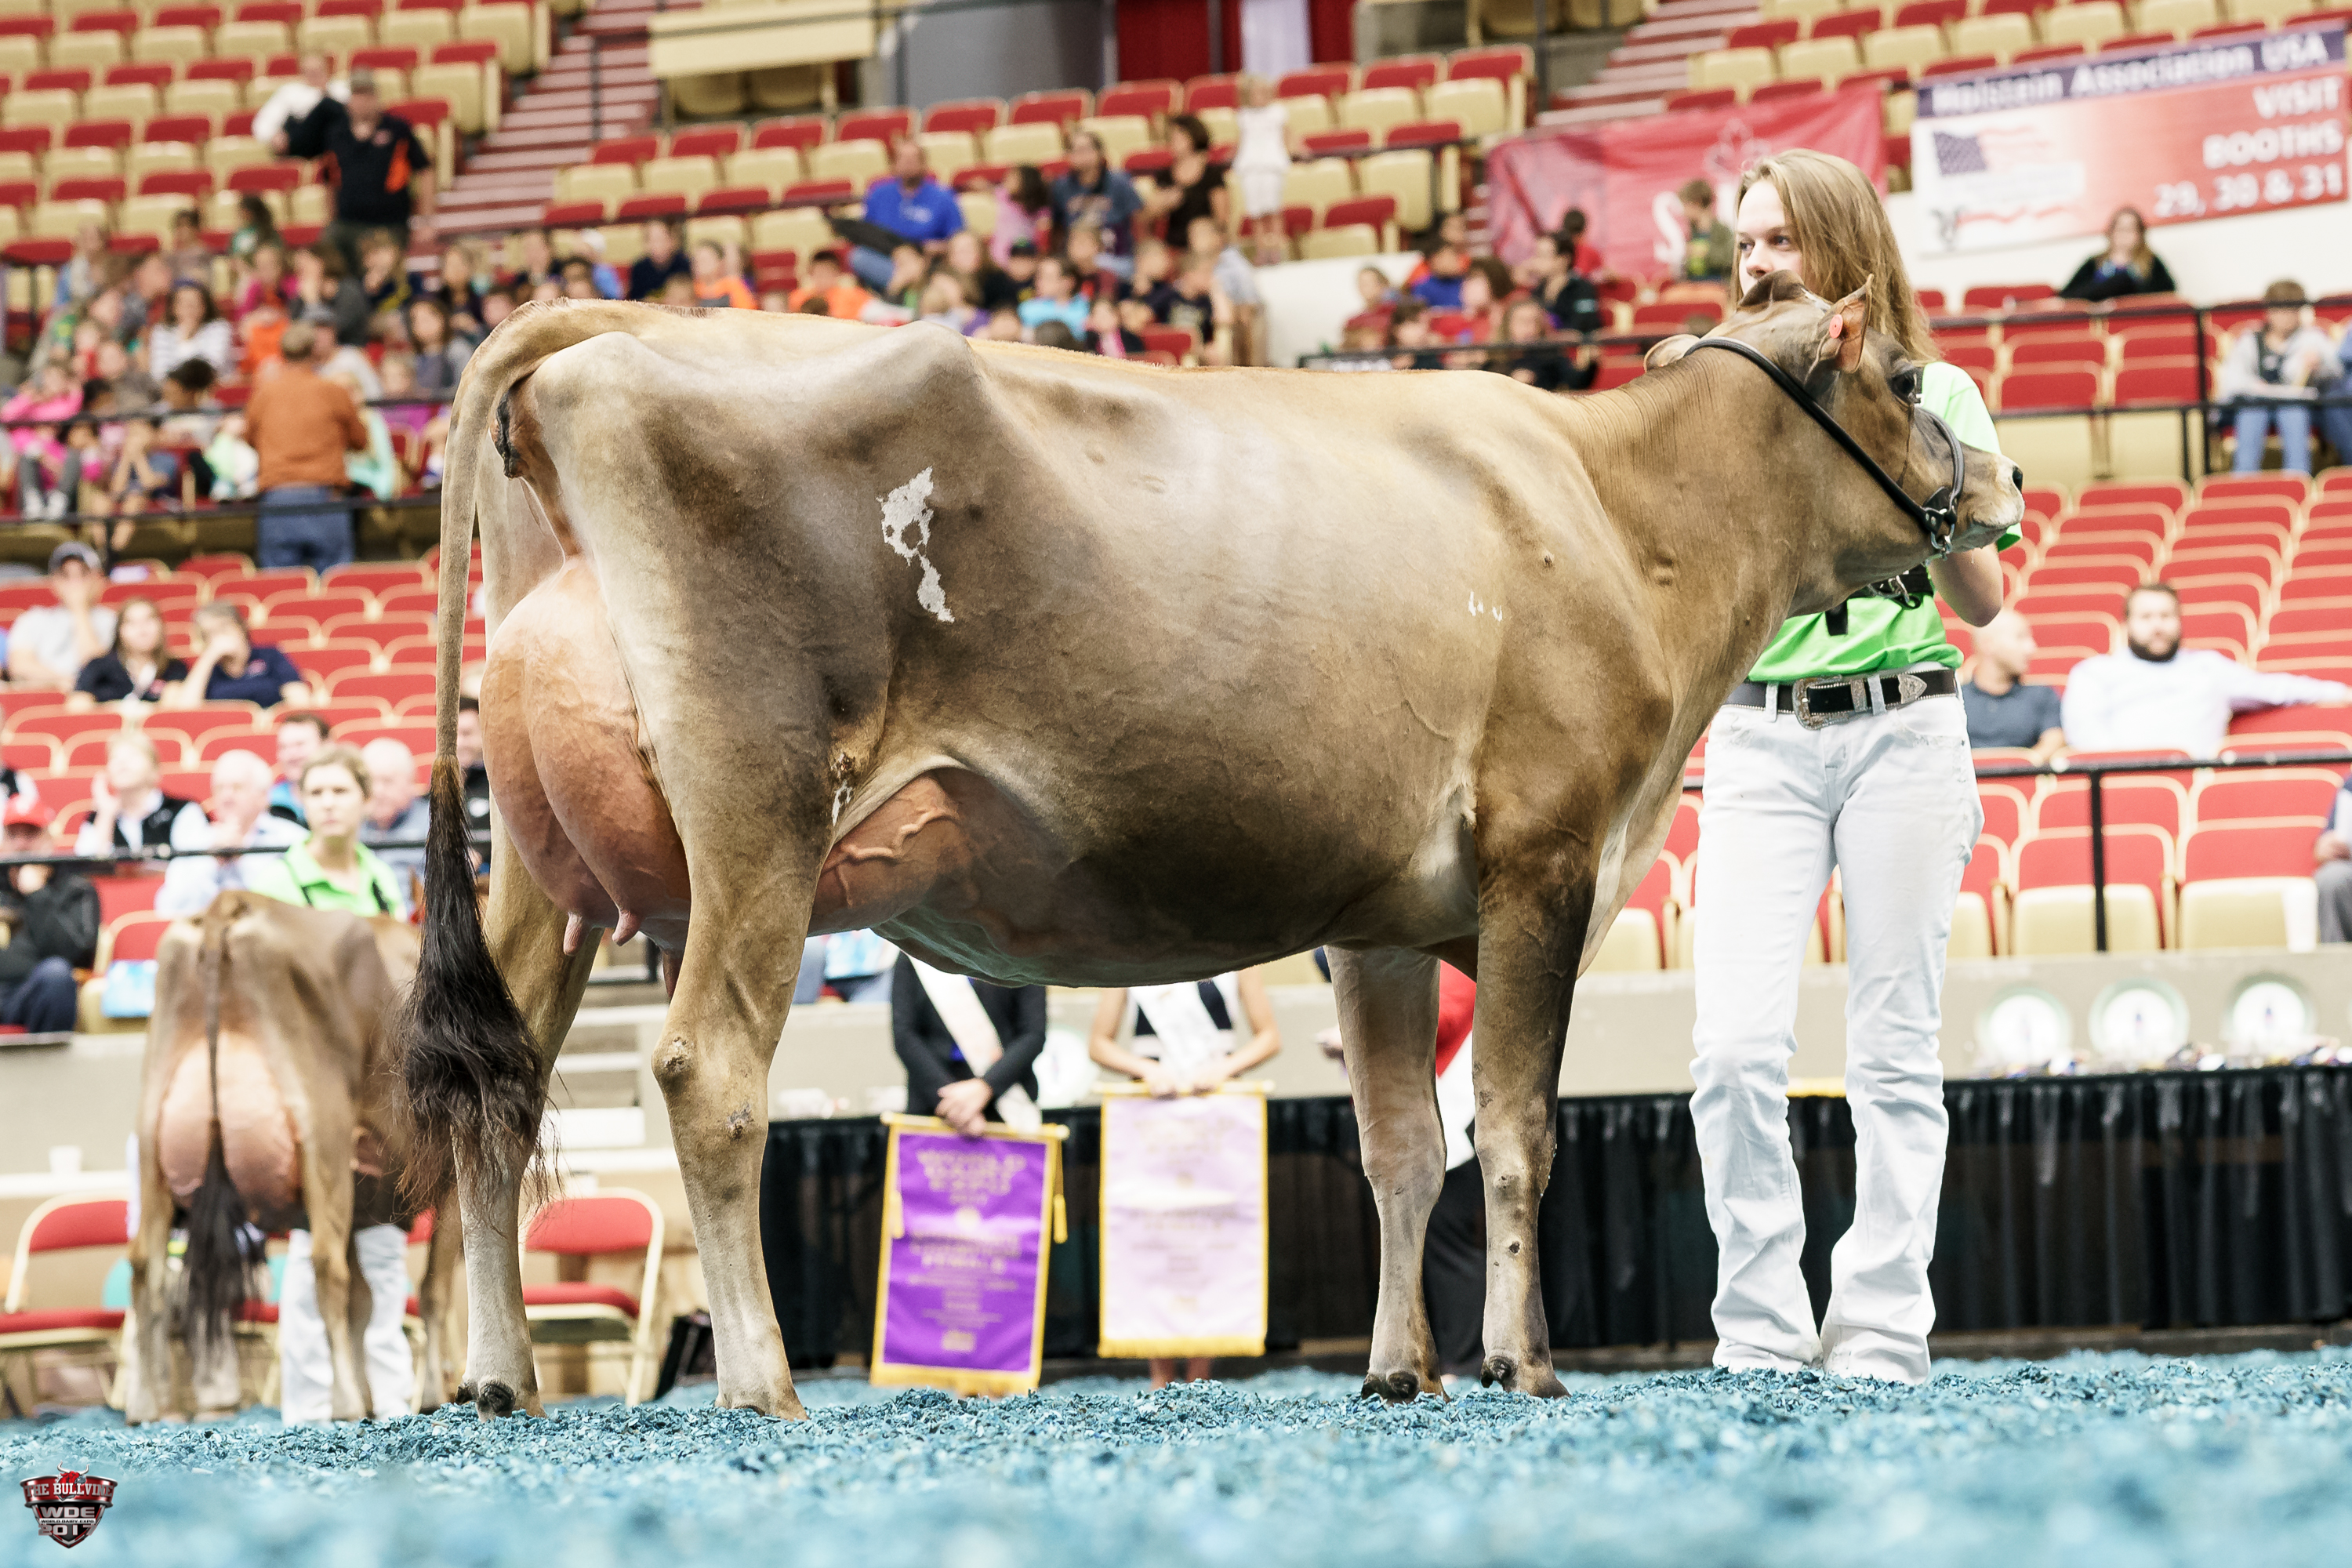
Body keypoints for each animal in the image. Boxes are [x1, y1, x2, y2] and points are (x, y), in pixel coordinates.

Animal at [123, 892, 461, 1423]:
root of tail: (234, 903)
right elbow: (432, 1292)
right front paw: (428, 1396)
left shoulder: (362, 1204)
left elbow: (365, 1304)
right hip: (323, 1138)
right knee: (327, 1268)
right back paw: (345, 1403)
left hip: (153, 1144)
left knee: (145, 1267)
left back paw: (145, 1405)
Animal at [396, 270, 2021, 1419]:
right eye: (1904, 378)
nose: (2005, 486)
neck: (1623, 518)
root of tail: (612, 329)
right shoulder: (1542, 855)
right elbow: (1514, 1130)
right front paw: (1522, 1363)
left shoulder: (1380, 917)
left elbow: (1400, 1147)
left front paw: (1399, 1369)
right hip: (760, 800)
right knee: (706, 1071)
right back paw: (761, 1381)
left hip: (545, 867)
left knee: (504, 1090)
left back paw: (501, 1381)